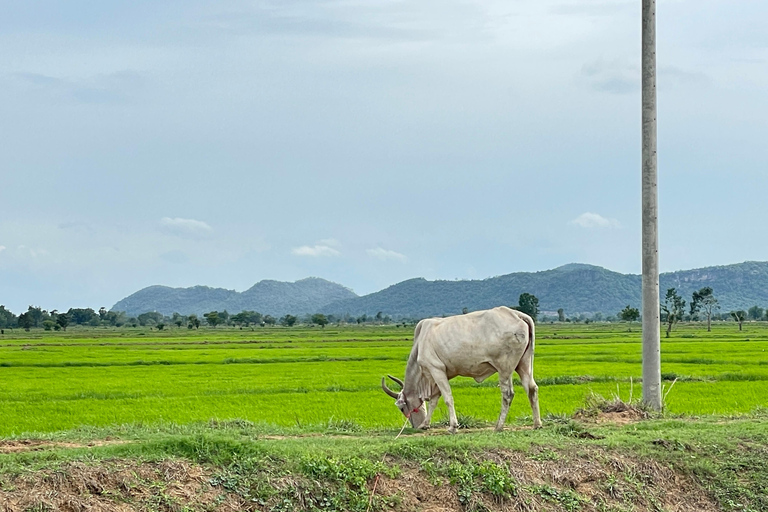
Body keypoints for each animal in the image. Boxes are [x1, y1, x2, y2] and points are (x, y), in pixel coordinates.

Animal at [380, 306, 540, 434]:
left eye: (402, 409)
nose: (414, 425)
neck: (420, 342)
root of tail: (516, 314)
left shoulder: (436, 370)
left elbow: (447, 398)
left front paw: (453, 427)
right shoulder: (436, 378)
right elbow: (433, 401)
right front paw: (425, 424)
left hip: (504, 368)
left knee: (508, 394)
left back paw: (499, 426)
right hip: (523, 364)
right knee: (531, 388)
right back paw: (537, 424)